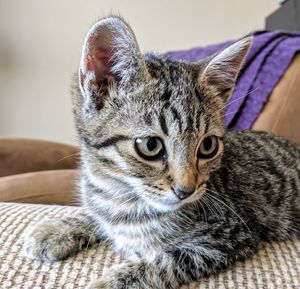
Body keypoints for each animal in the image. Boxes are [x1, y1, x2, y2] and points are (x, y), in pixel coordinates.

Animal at [24, 16, 300, 288]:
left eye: (208, 146)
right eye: (150, 146)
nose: (186, 191)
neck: (117, 195)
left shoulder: (227, 237)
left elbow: (161, 263)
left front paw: (109, 282)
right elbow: (93, 214)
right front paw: (57, 230)